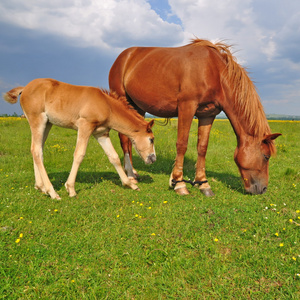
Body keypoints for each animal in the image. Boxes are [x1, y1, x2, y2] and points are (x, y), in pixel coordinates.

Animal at [3, 78, 156, 199]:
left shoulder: (101, 133)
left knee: (37, 148)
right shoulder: (85, 126)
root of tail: (24, 88)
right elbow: (79, 154)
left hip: (47, 124)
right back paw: (52, 192)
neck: (107, 105)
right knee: (36, 150)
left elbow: (113, 157)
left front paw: (130, 184)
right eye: (151, 139)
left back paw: (41, 187)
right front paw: (70, 188)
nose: (153, 158)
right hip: (37, 120)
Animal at [109, 38, 282, 196]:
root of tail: (124, 57)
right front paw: (178, 183)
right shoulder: (187, 107)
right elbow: (182, 144)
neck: (215, 72)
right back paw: (130, 175)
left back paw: (134, 172)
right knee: (124, 139)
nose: (263, 189)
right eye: (266, 156)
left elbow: (202, 147)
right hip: (123, 101)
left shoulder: (207, 114)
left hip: (137, 107)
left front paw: (203, 183)